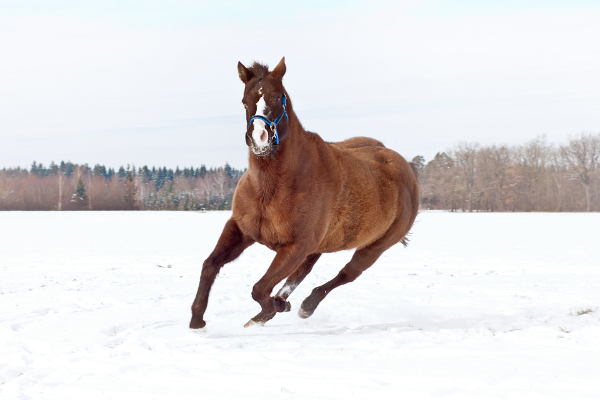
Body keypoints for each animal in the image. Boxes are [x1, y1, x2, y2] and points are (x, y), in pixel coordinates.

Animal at [190, 57, 420, 330]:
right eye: (245, 100)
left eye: (277, 97)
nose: (260, 138)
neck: (271, 189)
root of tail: (405, 167)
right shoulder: (241, 229)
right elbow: (210, 265)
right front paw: (197, 320)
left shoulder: (297, 246)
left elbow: (259, 289)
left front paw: (273, 308)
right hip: (320, 245)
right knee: (302, 273)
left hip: (374, 248)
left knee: (346, 274)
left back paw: (303, 306)